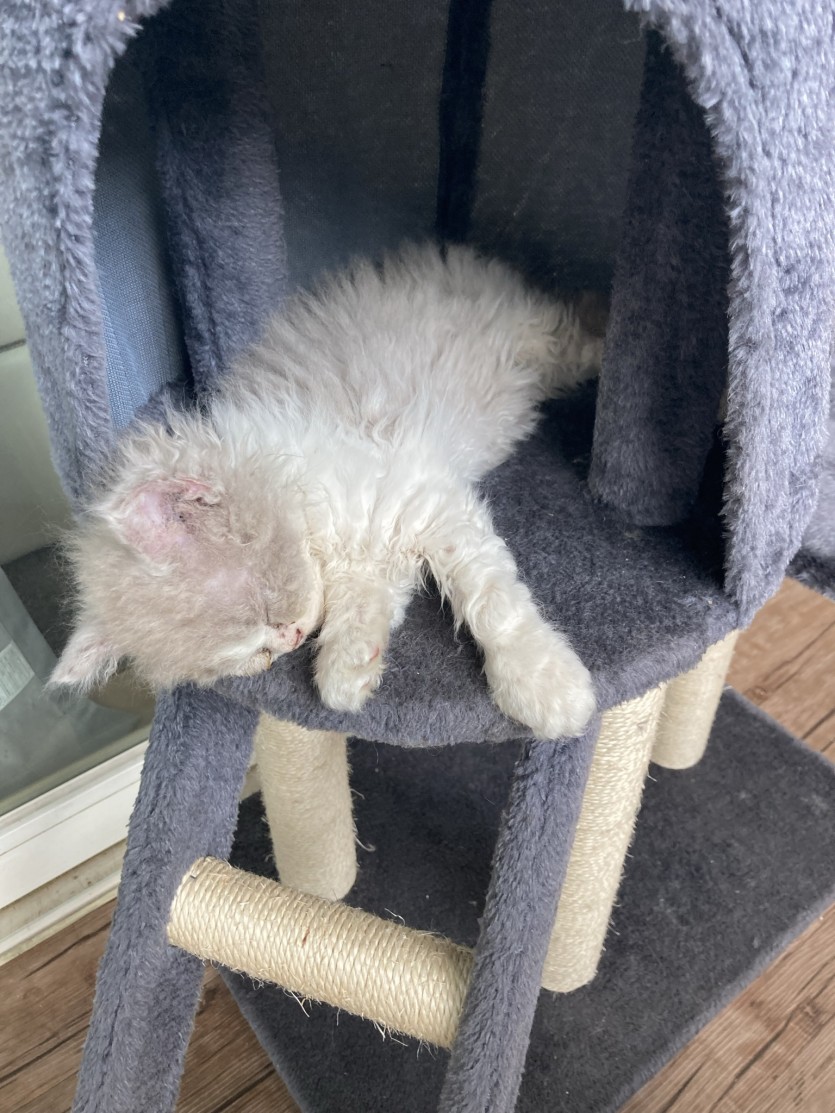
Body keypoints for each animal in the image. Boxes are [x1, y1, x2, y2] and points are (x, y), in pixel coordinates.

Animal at [51, 243, 601, 739]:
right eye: (251, 654)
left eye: (266, 605)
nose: (288, 640)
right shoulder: (384, 540)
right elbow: (363, 608)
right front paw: (348, 671)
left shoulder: (426, 500)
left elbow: (493, 604)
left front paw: (545, 687)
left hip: (541, 341)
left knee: (575, 331)